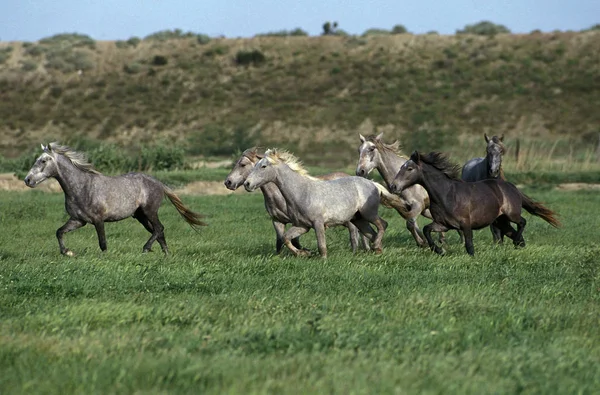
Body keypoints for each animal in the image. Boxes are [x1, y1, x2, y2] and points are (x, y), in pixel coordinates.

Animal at [24, 143, 206, 256]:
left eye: (43, 160)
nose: (27, 180)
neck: (81, 187)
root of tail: (159, 183)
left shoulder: (98, 220)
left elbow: (103, 243)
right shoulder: (78, 220)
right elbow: (59, 232)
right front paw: (67, 252)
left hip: (150, 211)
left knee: (159, 228)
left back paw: (146, 249)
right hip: (140, 216)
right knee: (158, 231)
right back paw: (165, 254)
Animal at [241, 150, 392, 258]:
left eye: (263, 166)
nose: (247, 184)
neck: (302, 192)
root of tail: (373, 184)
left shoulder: (318, 223)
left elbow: (321, 245)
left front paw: (322, 259)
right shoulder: (302, 226)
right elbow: (286, 238)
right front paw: (303, 253)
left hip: (369, 213)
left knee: (383, 225)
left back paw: (376, 247)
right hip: (358, 219)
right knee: (371, 233)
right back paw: (377, 250)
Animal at [390, 152, 564, 256]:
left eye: (409, 168)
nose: (393, 186)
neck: (447, 194)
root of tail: (512, 187)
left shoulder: (466, 224)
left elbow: (469, 246)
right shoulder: (444, 224)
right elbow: (427, 229)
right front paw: (439, 250)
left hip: (511, 214)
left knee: (522, 222)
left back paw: (516, 242)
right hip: (501, 221)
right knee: (514, 233)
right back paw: (518, 245)